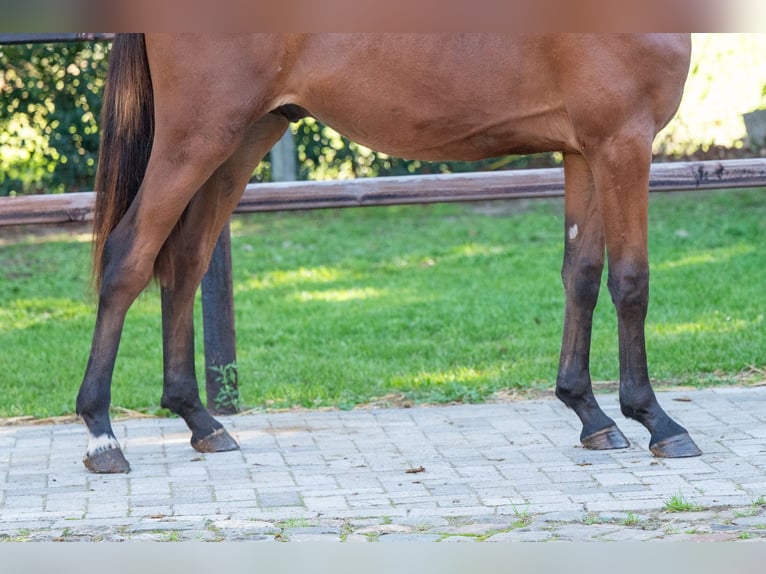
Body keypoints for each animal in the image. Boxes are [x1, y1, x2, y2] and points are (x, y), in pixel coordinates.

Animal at [77, 33, 701, 473]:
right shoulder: (622, 141)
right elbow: (631, 281)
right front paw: (657, 420)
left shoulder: (583, 149)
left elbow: (583, 276)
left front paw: (589, 414)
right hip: (196, 137)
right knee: (129, 256)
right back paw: (102, 436)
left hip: (243, 136)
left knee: (184, 260)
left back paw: (200, 420)